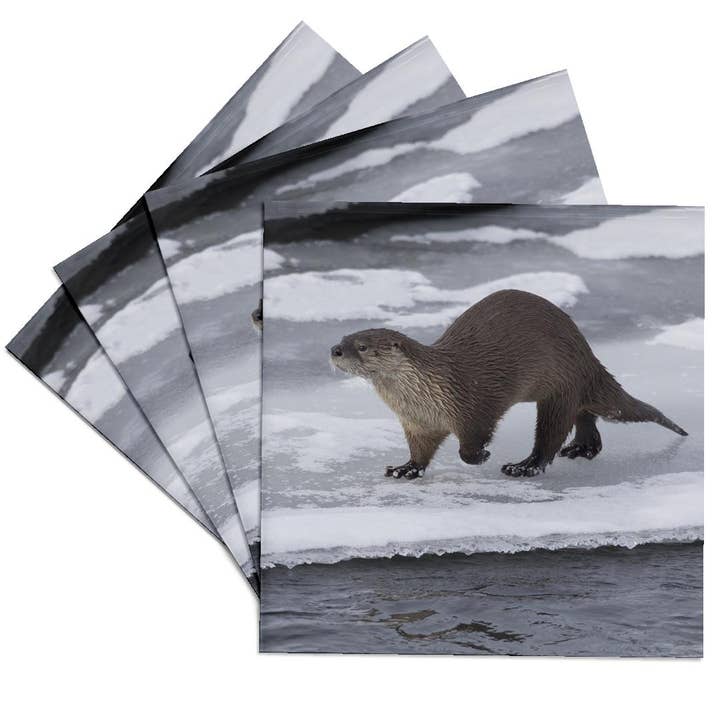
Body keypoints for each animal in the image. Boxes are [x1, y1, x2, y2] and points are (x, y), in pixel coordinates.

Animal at [329, 289, 687, 478]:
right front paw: (406, 469)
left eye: (362, 346)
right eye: (344, 338)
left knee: (551, 435)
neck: (428, 394)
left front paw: (482, 456)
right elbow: (420, 452)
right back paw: (582, 449)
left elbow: (471, 444)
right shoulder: (418, 425)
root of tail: (586, 354)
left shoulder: (474, 405)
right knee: (584, 414)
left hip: (561, 384)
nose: (335, 350)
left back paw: (524, 466)